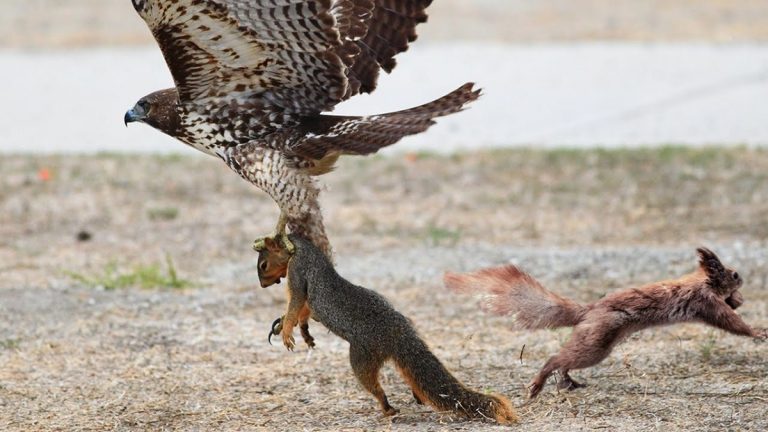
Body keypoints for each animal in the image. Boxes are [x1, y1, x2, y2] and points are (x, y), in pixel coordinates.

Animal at [253, 230, 518, 424]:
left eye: (263, 264)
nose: (263, 285)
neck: (303, 250)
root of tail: (398, 331)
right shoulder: (309, 297)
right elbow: (303, 311)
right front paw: (288, 326)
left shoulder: (299, 273)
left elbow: (296, 304)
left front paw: (287, 331)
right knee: (413, 377)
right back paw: (415, 396)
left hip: (363, 356)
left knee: (373, 384)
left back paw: (388, 408)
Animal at [444, 247, 767, 398]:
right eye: (733, 273)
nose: (742, 280)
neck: (700, 281)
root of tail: (588, 311)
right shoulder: (704, 302)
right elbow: (730, 322)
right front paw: (758, 331)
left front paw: (740, 303)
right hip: (597, 341)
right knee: (556, 358)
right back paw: (539, 384)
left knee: (565, 361)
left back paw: (568, 382)